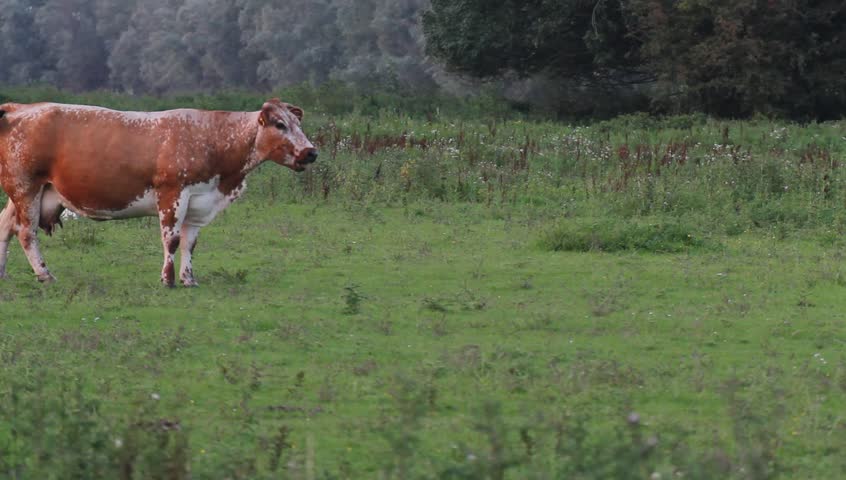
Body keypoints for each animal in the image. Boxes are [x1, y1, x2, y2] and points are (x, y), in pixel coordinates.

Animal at [0, 98, 317, 286]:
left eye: (298, 123)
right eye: (280, 124)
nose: (310, 152)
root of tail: (21, 107)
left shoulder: (199, 202)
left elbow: (190, 243)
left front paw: (189, 279)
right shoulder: (172, 193)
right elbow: (172, 240)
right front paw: (168, 279)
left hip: (26, 192)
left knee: (5, 226)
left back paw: (2, 272)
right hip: (26, 187)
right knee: (26, 233)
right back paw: (44, 273)